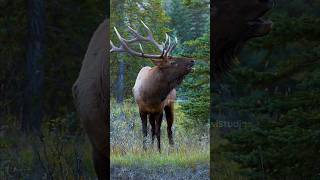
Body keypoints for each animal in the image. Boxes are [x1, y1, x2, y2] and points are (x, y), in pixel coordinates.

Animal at [110, 21, 195, 152]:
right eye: (172, 62)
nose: (192, 61)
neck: (151, 95)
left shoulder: (159, 109)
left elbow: (159, 131)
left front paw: (159, 151)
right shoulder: (142, 109)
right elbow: (145, 131)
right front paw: (145, 149)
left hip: (170, 105)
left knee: (169, 129)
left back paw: (172, 148)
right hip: (153, 112)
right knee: (153, 129)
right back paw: (152, 146)